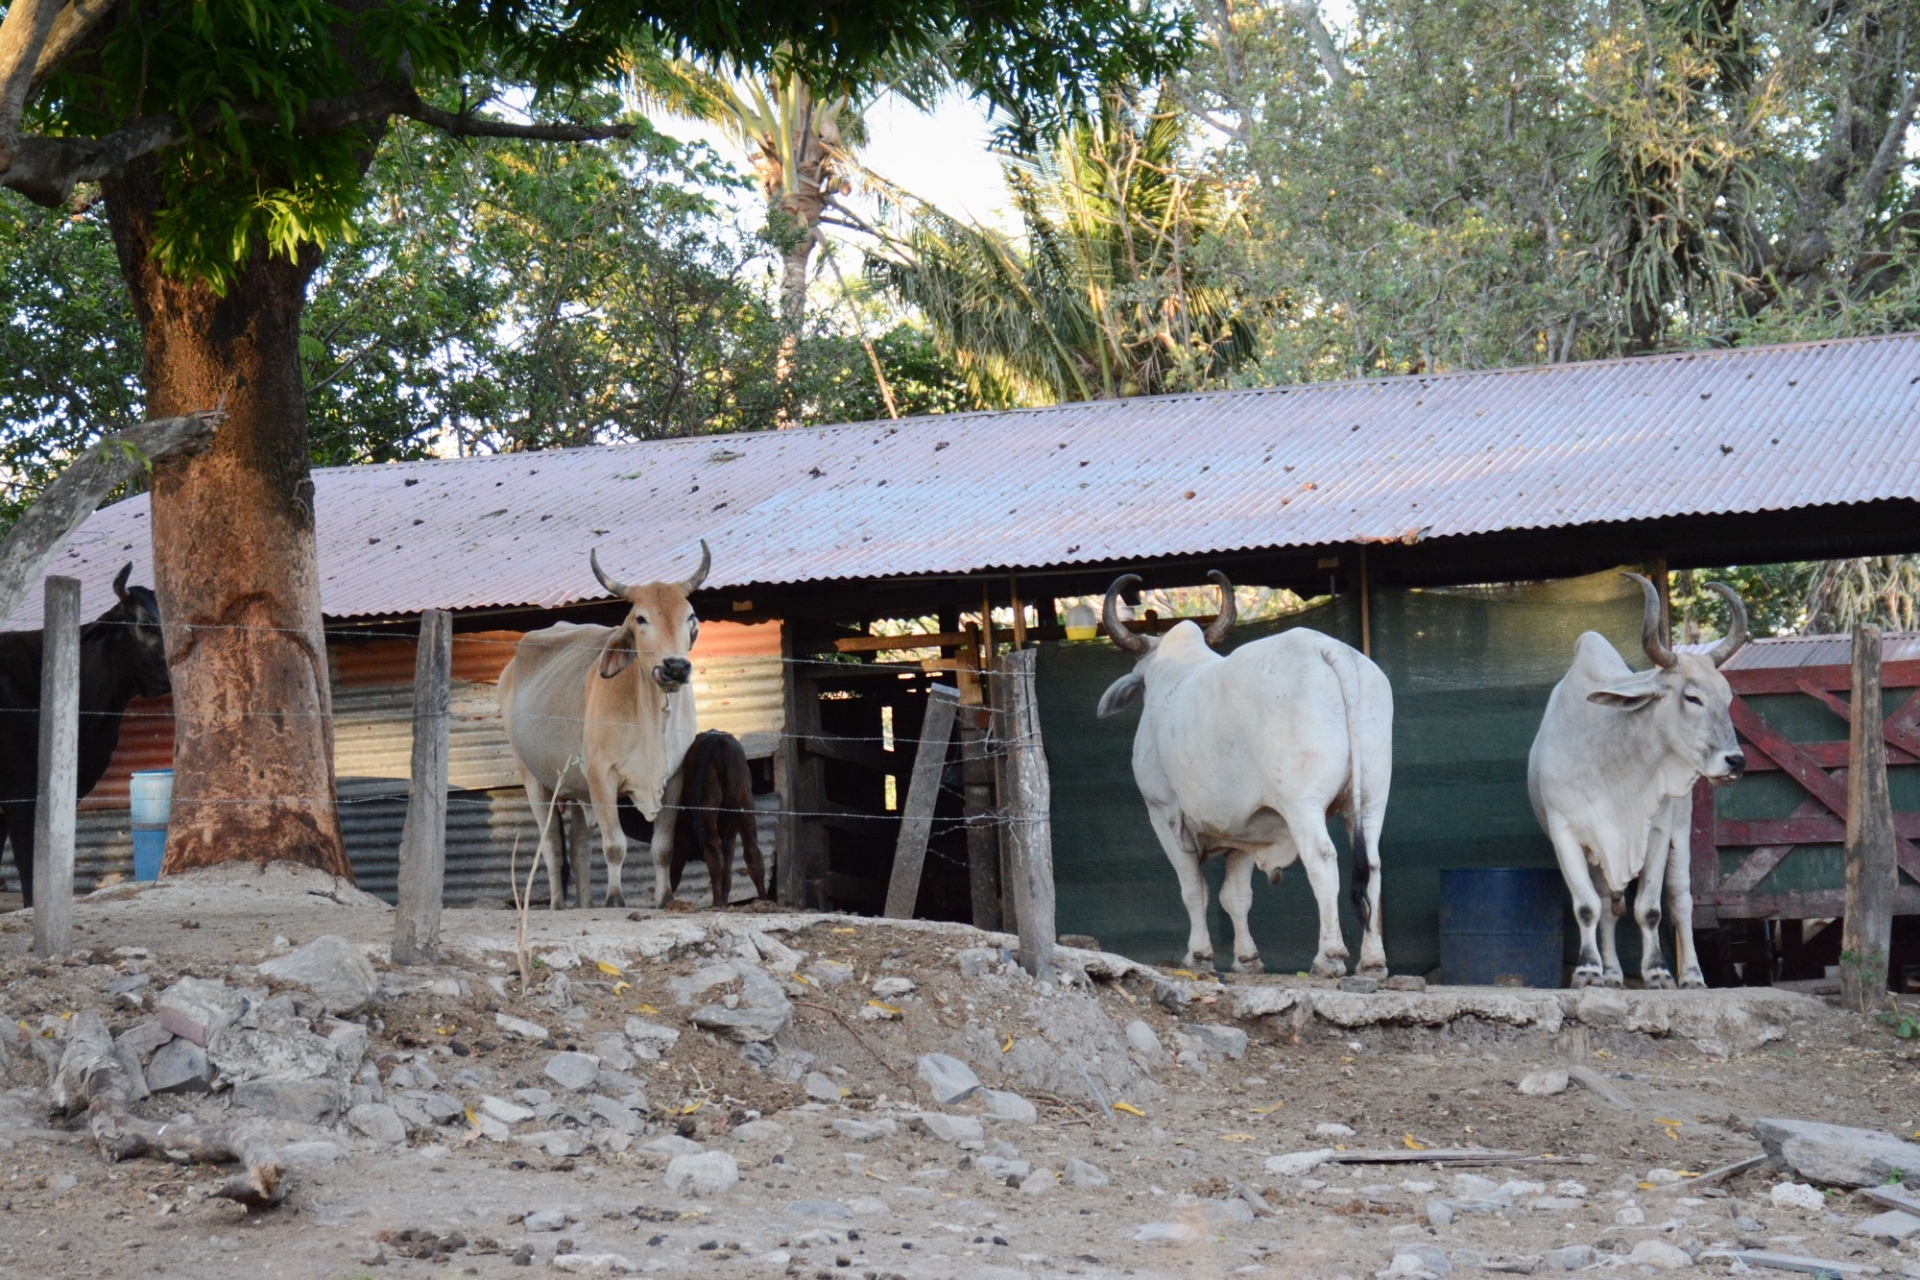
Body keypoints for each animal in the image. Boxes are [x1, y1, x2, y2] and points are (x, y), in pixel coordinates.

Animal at [498, 542, 708, 909]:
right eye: (641, 618)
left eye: (690, 616)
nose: (675, 667)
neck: (651, 719)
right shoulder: (601, 775)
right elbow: (614, 845)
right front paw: (615, 898)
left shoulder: (674, 778)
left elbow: (662, 847)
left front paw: (664, 898)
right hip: (534, 779)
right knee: (552, 847)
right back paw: (558, 904)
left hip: (576, 786)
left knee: (579, 845)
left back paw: (584, 904)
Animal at [667, 729, 767, 908]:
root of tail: (716, 738)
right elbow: (727, 872)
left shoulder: (679, 843)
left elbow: (673, 874)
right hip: (744, 800)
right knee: (752, 852)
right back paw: (762, 901)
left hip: (707, 803)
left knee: (713, 850)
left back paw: (716, 904)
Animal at [1094, 571, 1393, 978]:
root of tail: (1328, 650)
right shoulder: (1247, 829)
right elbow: (1235, 895)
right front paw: (1247, 958)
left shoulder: (1164, 814)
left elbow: (1194, 890)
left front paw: (1200, 954)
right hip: (1371, 799)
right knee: (1373, 865)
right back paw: (1373, 961)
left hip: (1303, 804)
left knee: (1322, 859)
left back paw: (1329, 956)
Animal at [1527, 572, 1748, 989]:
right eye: (1692, 698)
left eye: (1727, 698)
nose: (1735, 761)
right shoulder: (1567, 833)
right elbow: (1588, 906)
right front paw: (1589, 970)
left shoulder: (1658, 832)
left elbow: (1650, 909)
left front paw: (1659, 971)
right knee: (1606, 903)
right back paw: (1613, 972)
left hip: (1681, 831)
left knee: (1680, 901)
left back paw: (1692, 976)